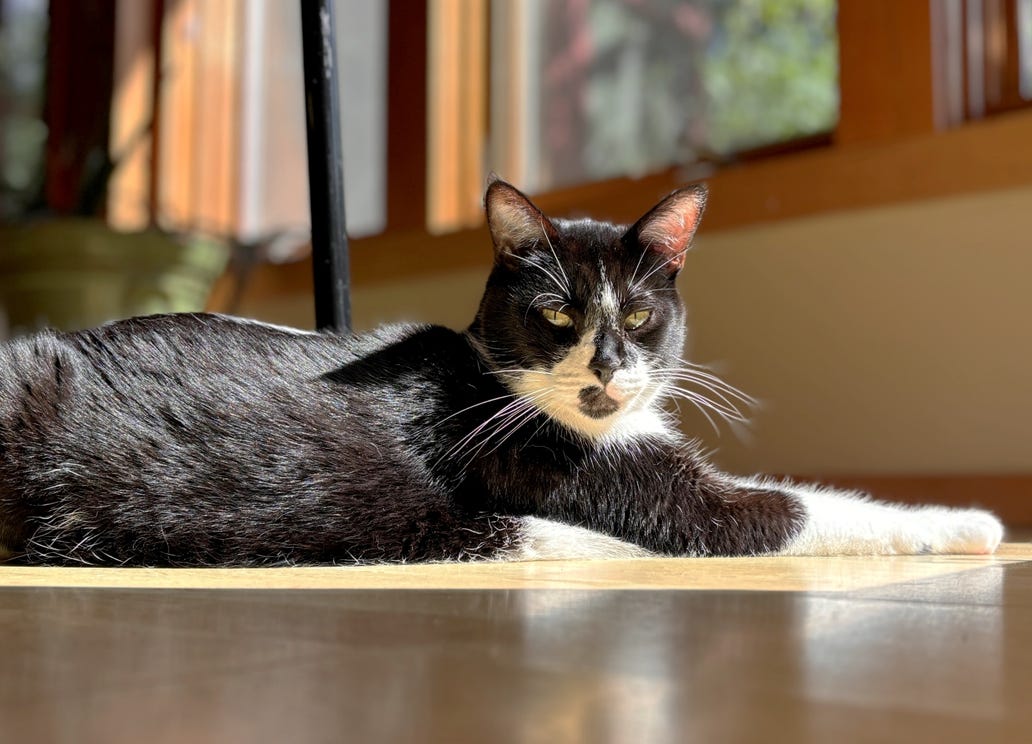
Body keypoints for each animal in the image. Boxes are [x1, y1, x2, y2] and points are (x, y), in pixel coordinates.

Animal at [0, 179, 998, 561]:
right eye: (556, 314)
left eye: (640, 315)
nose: (605, 371)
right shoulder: (574, 471)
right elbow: (798, 511)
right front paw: (968, 522)